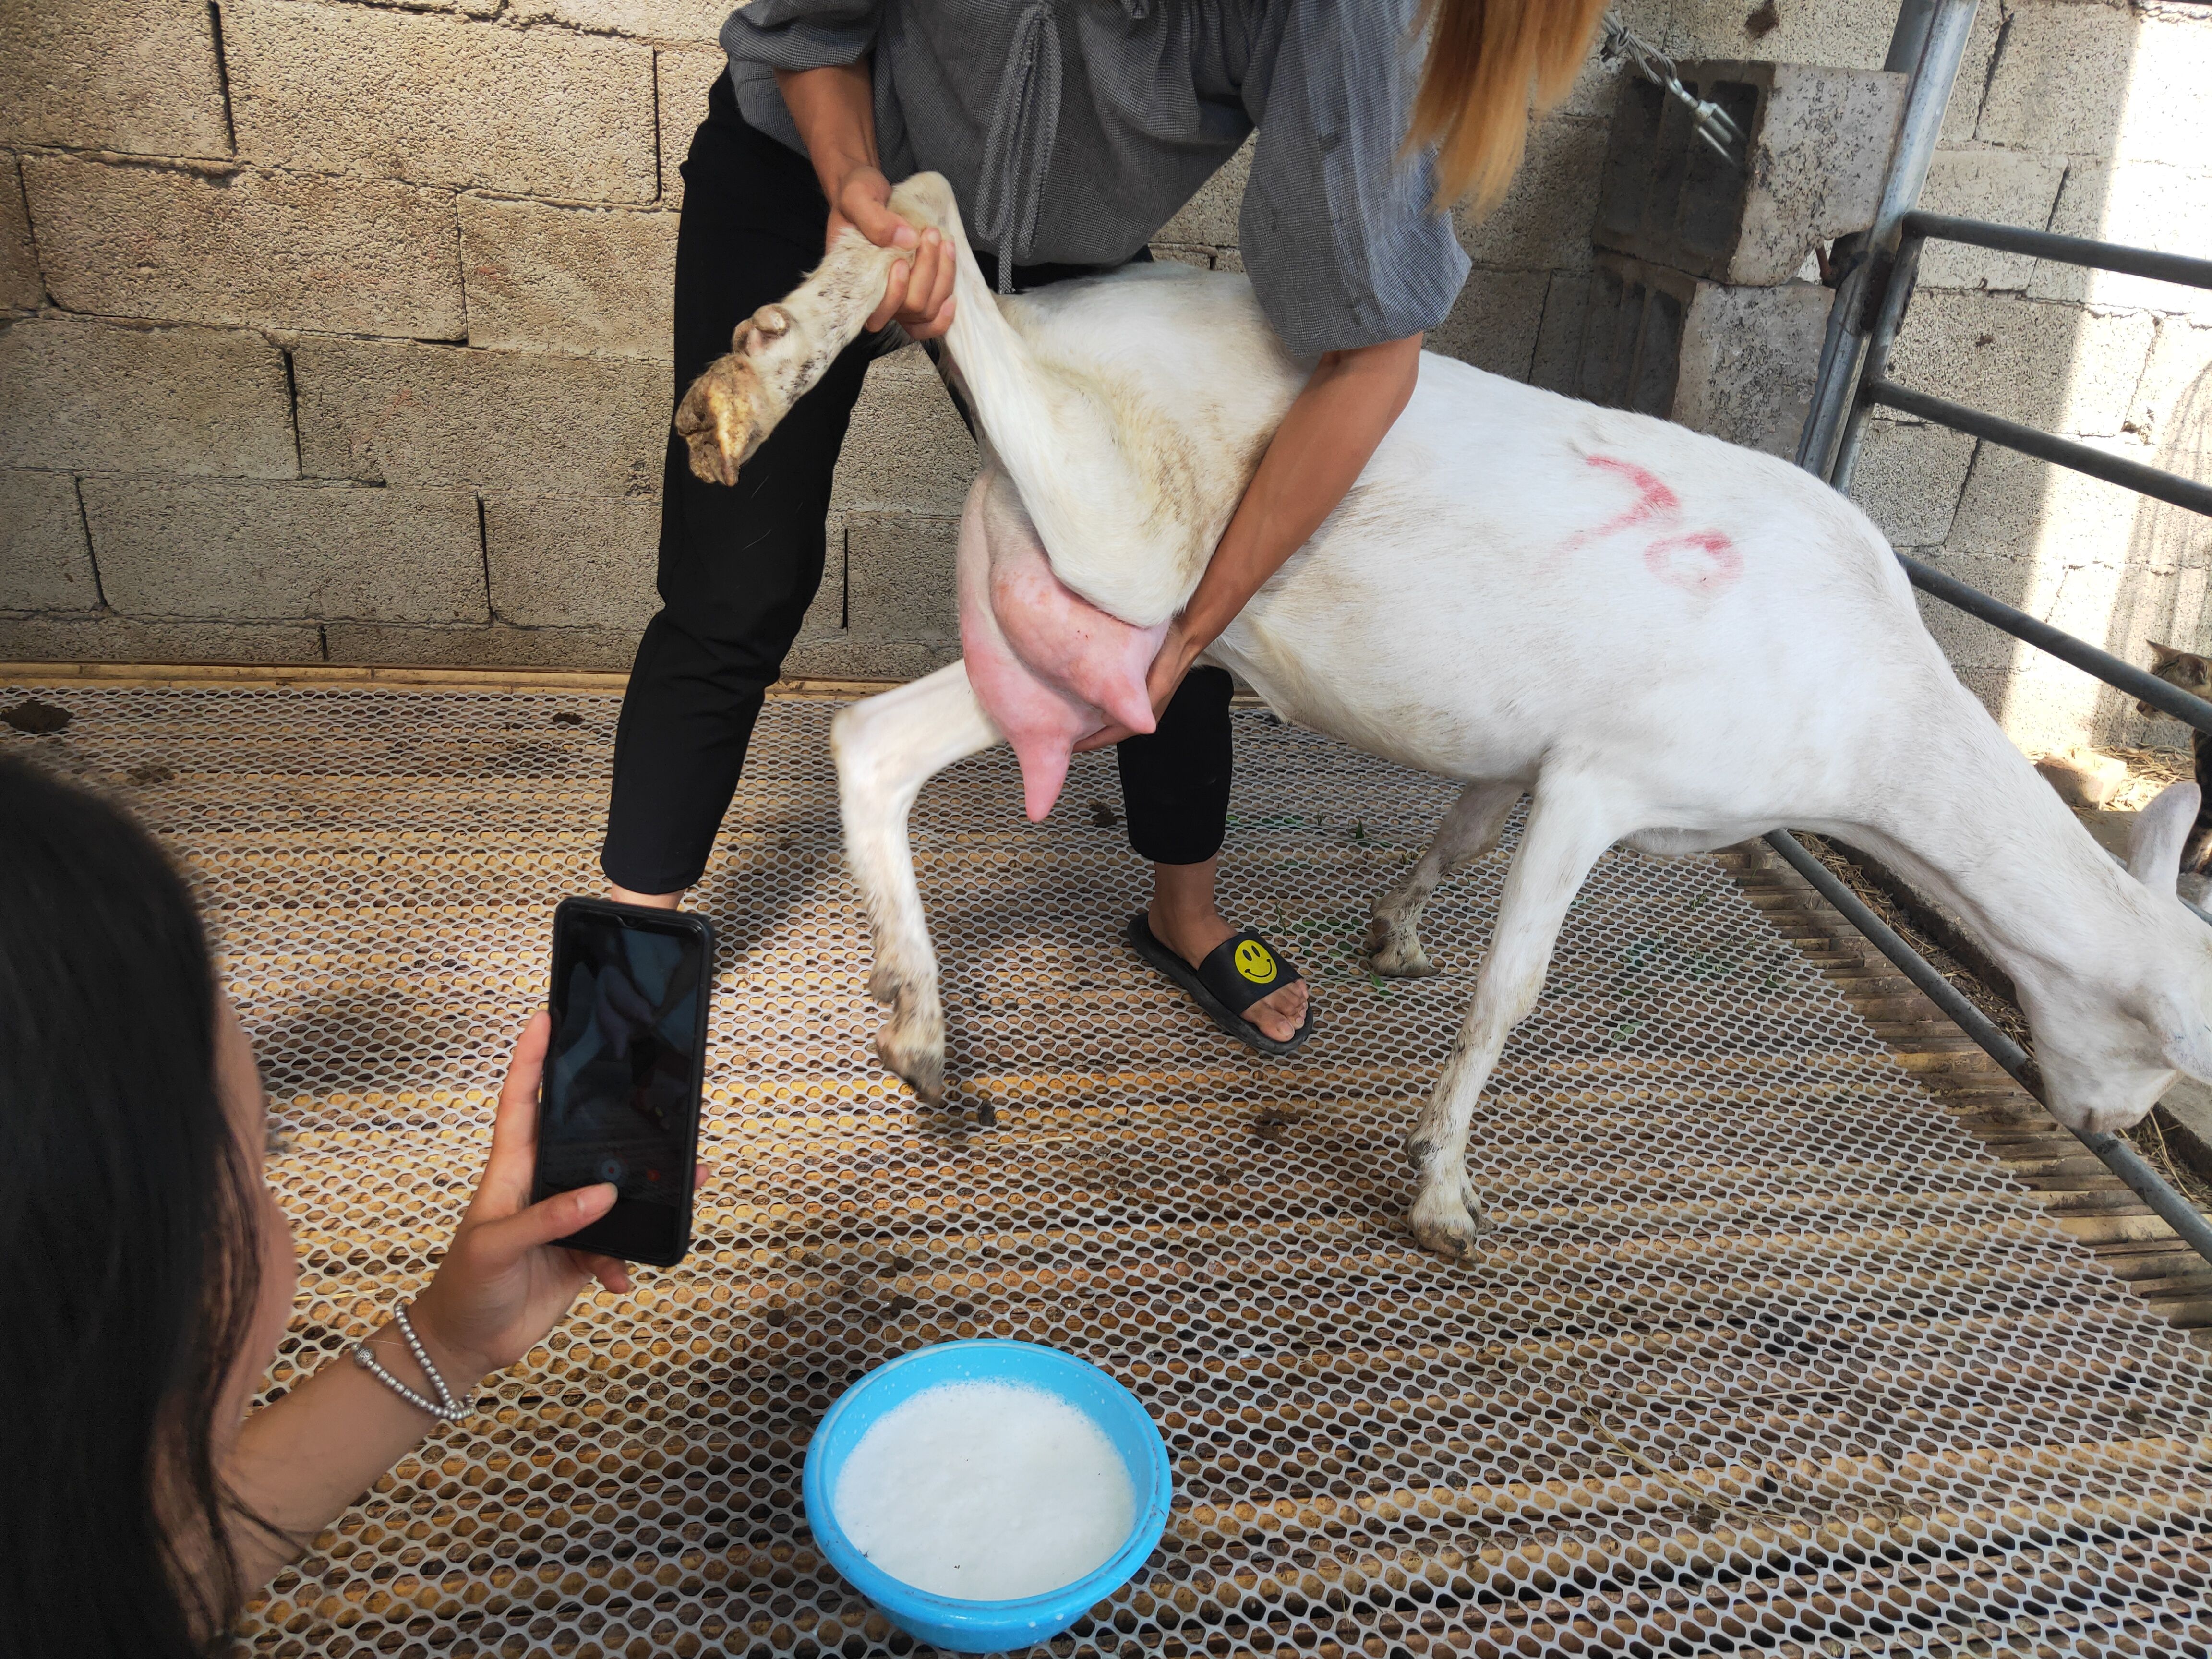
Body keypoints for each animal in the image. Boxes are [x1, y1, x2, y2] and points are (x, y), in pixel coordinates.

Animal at [672, 179, 2212, 1256]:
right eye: (2170, 1053)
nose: (2111, 1124)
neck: (1868, 722)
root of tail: (1061, 321)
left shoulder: (1524, 755)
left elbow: (1462, 845)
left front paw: (1395, 933)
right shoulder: (1604, 776)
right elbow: (1510, 990)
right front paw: (1446, 1197)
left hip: (1078, 646)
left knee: (872, 743)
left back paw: (921, 1038)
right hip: (1124, 540)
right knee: (935, 209)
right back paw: (758, 369)